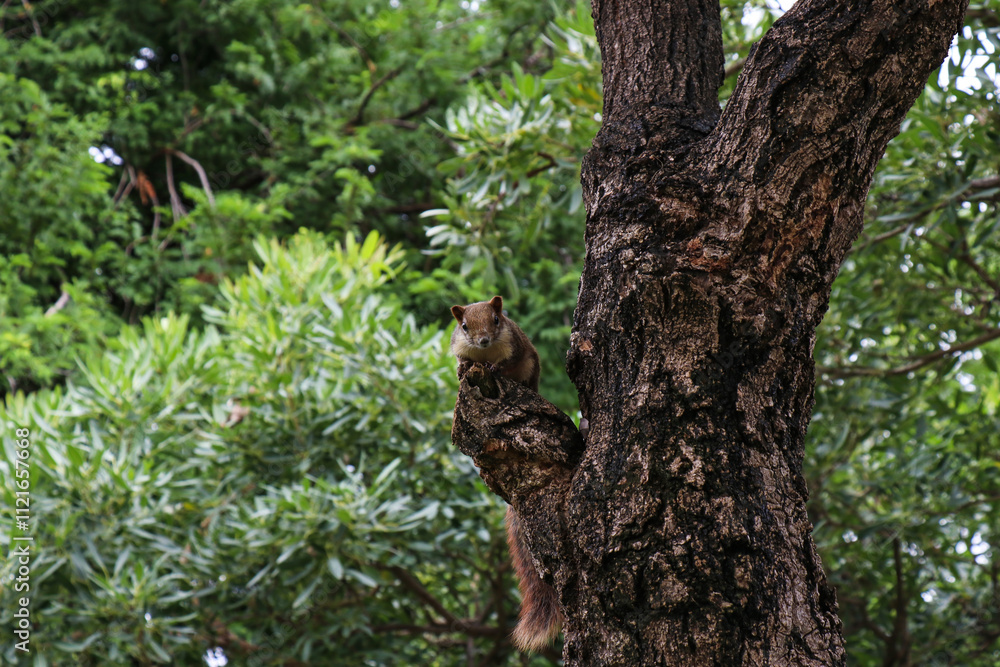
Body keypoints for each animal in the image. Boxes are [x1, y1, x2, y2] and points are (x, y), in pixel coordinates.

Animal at [449, 296, 561, 652]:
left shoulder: (514, 344)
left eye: (497, 320)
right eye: (464, 326)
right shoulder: (460, 345)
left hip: (530, 369)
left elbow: (507, 361)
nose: (484, 340)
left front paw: (496, 368)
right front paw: (462, 368)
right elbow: (461, 360)